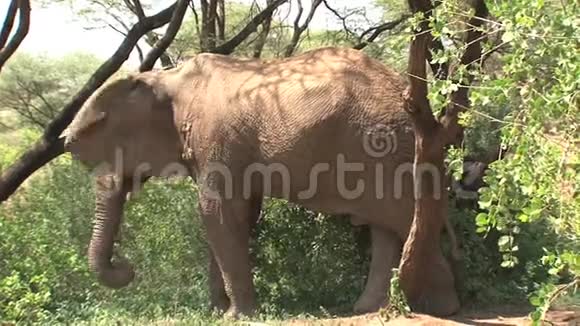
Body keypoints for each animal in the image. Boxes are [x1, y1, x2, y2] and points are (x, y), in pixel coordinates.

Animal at [63, 47, 460, 318]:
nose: (126, 267)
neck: (167, 78)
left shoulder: (215, 137)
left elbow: (216, 211)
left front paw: (234, 316)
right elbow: (238, 215)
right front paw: (217, 312)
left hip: (383, 144)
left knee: (401, 217)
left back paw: (443, 309)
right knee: (386, 226)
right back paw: (368, 310)